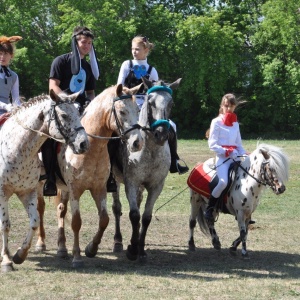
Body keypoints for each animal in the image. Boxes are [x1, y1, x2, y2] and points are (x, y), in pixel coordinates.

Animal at [0, 89, 89, 272]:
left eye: (78, 112)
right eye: (64, 115)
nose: (83, 143)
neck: (16, 148)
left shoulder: (28, 192)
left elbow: (34, 221)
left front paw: (20, 255)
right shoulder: (3, 192)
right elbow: (5, 225)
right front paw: (6, 260)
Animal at [35, 84, 144, 268]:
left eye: (137, 110)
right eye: (122, 111)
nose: (137, 143)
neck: (91, 148)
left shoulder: (99, 188)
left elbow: (104, 219)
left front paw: (91, 249)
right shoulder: (75, 190)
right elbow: (76, 222)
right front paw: (77, 257)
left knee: (61, 210)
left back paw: (62, 248)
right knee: (40, 208)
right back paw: (41, 243)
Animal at [110, 77, 180, 262]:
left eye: (171, 103)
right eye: (150, 102)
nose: (161, 134)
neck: (151, 150)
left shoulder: (156, 186)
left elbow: (146, 217)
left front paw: (140, 249)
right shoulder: (131, 183)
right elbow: (134, 215)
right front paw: (132, 250)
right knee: (117, 208)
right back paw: (118, 241)